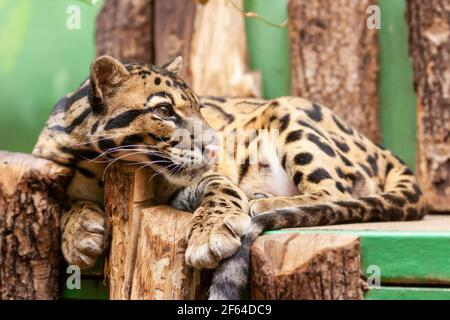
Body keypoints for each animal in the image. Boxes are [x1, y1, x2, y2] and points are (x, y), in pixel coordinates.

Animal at [31, 55, 426, 300]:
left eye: (200, 107)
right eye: (164, 110)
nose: (213, 146)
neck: (101, 165)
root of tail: (381, 149)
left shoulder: (203, 177)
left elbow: (221, 189)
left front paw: (210, 233)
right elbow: (63, 205)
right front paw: (79, 234)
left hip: (292, 113)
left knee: (336, 192)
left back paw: (264, 201)